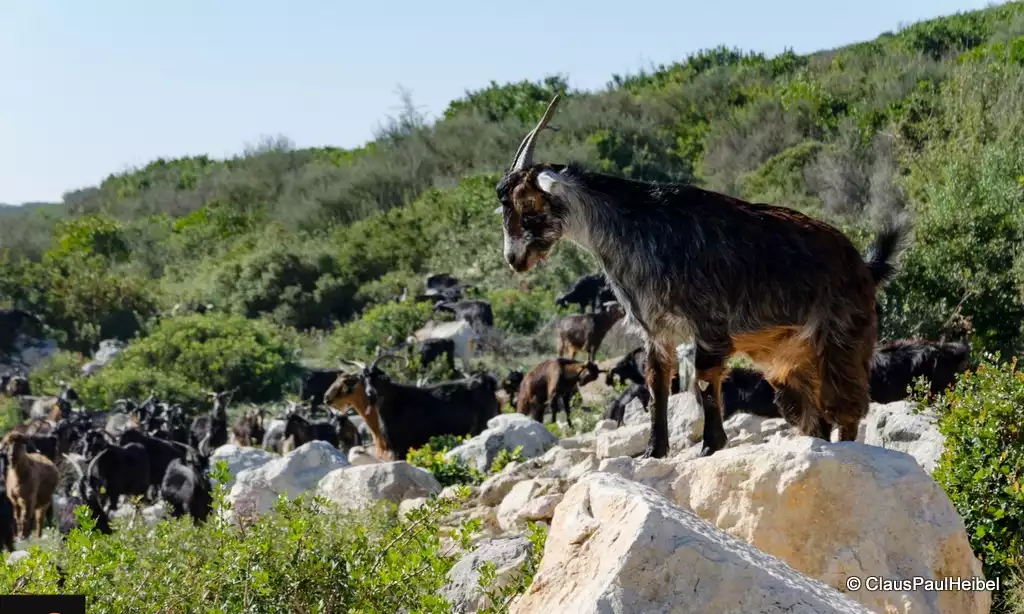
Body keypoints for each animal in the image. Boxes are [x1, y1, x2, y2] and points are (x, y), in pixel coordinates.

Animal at [495, 92, 905, 456]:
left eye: (527, 203)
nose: (514, 259)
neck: (635, 229)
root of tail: (864, 266)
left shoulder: (708, 323)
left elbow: (706, 383)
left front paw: (711, 445)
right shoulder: (656, 331)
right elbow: (658, 384)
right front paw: (653, 450)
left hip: (843, 340)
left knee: (846, 407)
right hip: (789, 360)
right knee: (812, 415)